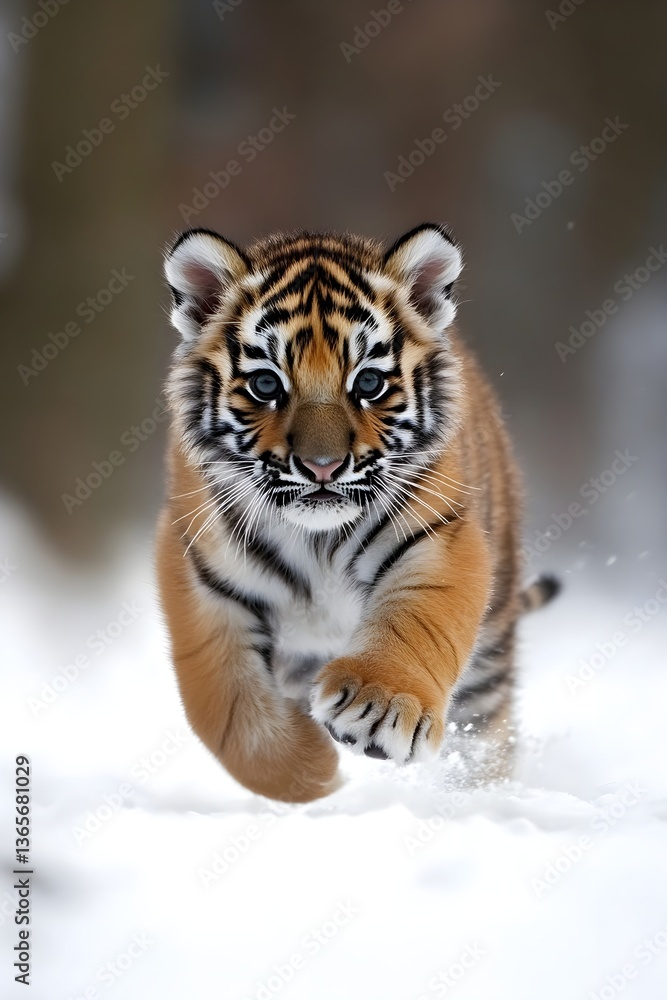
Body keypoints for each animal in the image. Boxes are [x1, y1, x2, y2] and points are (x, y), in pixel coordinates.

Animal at [156, 223, 559, 803]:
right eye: (266, 384)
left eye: (368, 383)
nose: (321, 466)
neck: (316, 538)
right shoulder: (199, 573)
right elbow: (232, 715)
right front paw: (315, 772)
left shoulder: (439, 537)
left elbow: (417, 623)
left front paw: (377, 710)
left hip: (489, 654)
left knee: (489, 732)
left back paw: (480, 796)